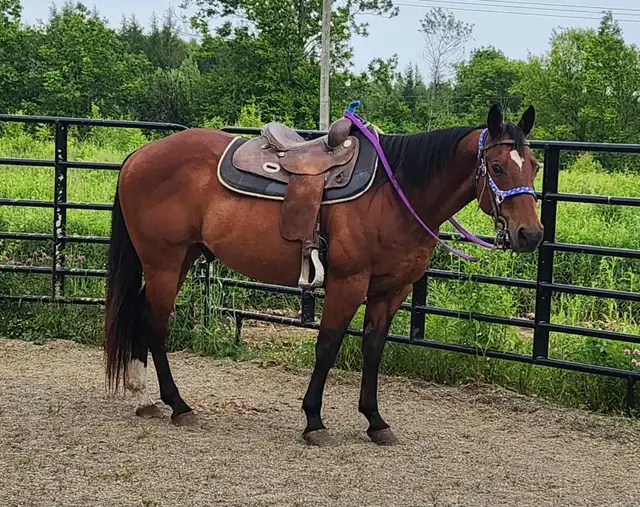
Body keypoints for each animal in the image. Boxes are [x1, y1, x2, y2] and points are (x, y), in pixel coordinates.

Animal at [104, 102, 542, 446]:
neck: (393, 194)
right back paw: (177, 405)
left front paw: (375, 421)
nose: (531, 234)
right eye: (497, 166)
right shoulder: (348, 283)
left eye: (535, 167)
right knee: (156, 323)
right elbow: (328, 346)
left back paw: (145, 399)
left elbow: (373, 349)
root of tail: (138, 156)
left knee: (143, 314)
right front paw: (314, 421)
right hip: (163, 262)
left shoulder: (391, 291)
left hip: (180, 260)